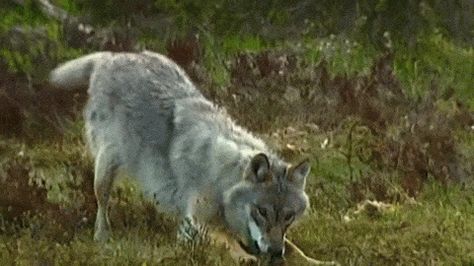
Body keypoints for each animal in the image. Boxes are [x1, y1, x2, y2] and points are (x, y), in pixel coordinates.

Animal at [50, 51, 336, 264]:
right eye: (262, 211)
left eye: (288, 216)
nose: (276, 254)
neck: (223, 180)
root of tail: (113, 56)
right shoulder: (194, 224)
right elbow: (226, 240)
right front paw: (245, 257)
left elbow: (295, 248)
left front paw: (317, 261)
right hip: (106, 166)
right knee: (102, 203)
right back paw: (102, 237)